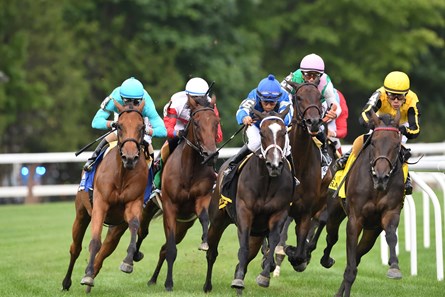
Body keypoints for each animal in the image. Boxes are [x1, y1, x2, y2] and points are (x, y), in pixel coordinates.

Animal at [61, 100, 147, 292]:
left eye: (142, 127)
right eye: (119, 126)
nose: (130, 157)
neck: (122, 174)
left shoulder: (133, 203)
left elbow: (134, 226)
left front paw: (128, 261)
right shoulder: (100, 204)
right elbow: (94, 241)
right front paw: (86, 276)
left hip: (117, 226)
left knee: (105, 251)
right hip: (81, 214)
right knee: (75, 248)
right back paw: (67, 282)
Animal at [146, 96, 219, 290]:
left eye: (216, 122)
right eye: (197, 122)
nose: (210, 154)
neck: (189, 169)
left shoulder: (202, 198)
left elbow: (205, 218)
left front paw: (204, 242)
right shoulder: (170, 207)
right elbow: (172, 250)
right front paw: (169, 283)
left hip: (183, 226)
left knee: (163, 248)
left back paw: (153, 279)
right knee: (145, 235)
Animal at [202, 106, 294, 294]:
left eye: (283, 133)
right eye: (263, 134)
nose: (274, 165)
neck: (267, 182)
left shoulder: (278, 213)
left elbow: (273, 241)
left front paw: (264, 275)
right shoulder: (245, 212)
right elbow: (242, 247)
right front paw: (238, 281)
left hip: (257, 234)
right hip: (218, 221)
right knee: (212, 252)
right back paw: (208, 285)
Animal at [280, 81, 332, 270]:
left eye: (319, 97)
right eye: (299, 97)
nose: (314, 122)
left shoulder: (306, 210)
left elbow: (300, 250)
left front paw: (297, 255)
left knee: (322, 220)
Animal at [322, 110, 406, 294]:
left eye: (397, 145)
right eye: (373, 143)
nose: (381, 177)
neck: (376, 188)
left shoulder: (390, 213)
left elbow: (391, 235)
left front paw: (394, 267)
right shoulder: (355, 219)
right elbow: (350, 267)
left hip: (371, 231)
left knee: (358, 254)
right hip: (334, 211)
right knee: (331, 236)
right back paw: (325, 259)